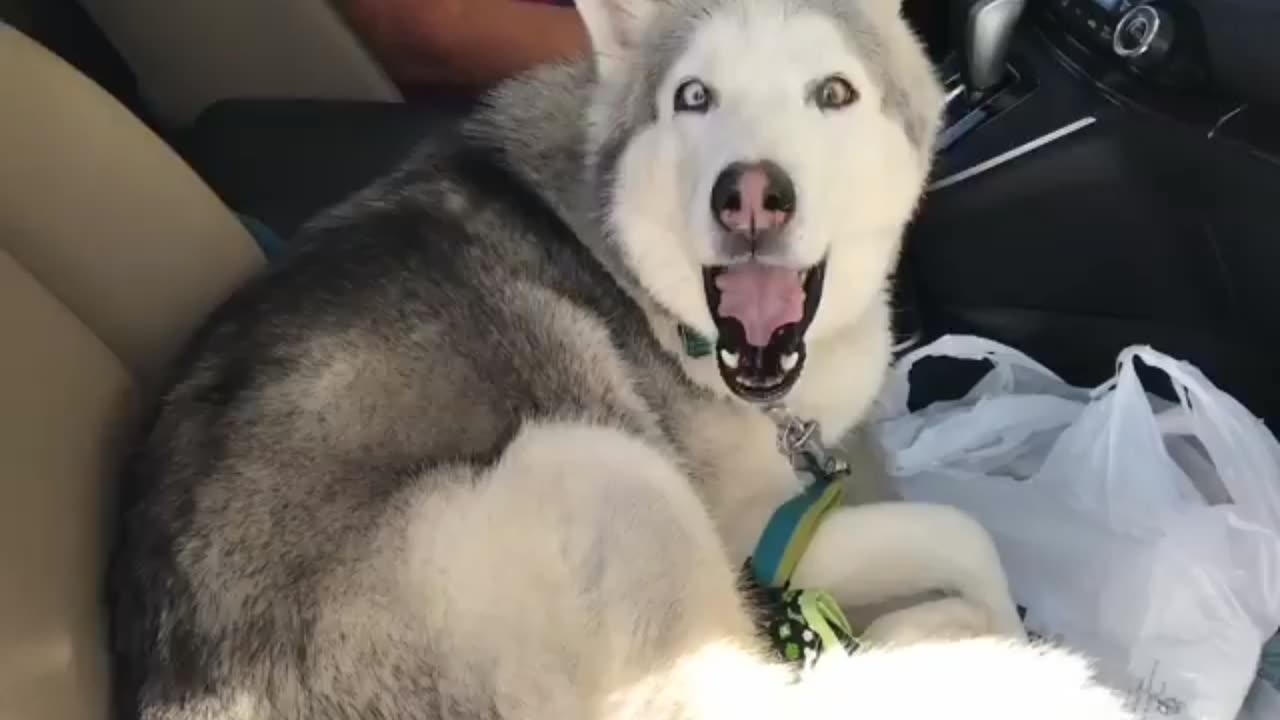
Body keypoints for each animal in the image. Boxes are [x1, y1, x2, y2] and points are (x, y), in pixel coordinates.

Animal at [112, 1, 1131, 717]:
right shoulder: (754, 534)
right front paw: (993, 621)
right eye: (693, 96)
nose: (750, 195)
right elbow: (967, 535)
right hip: (599, 466)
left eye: (832, 93)